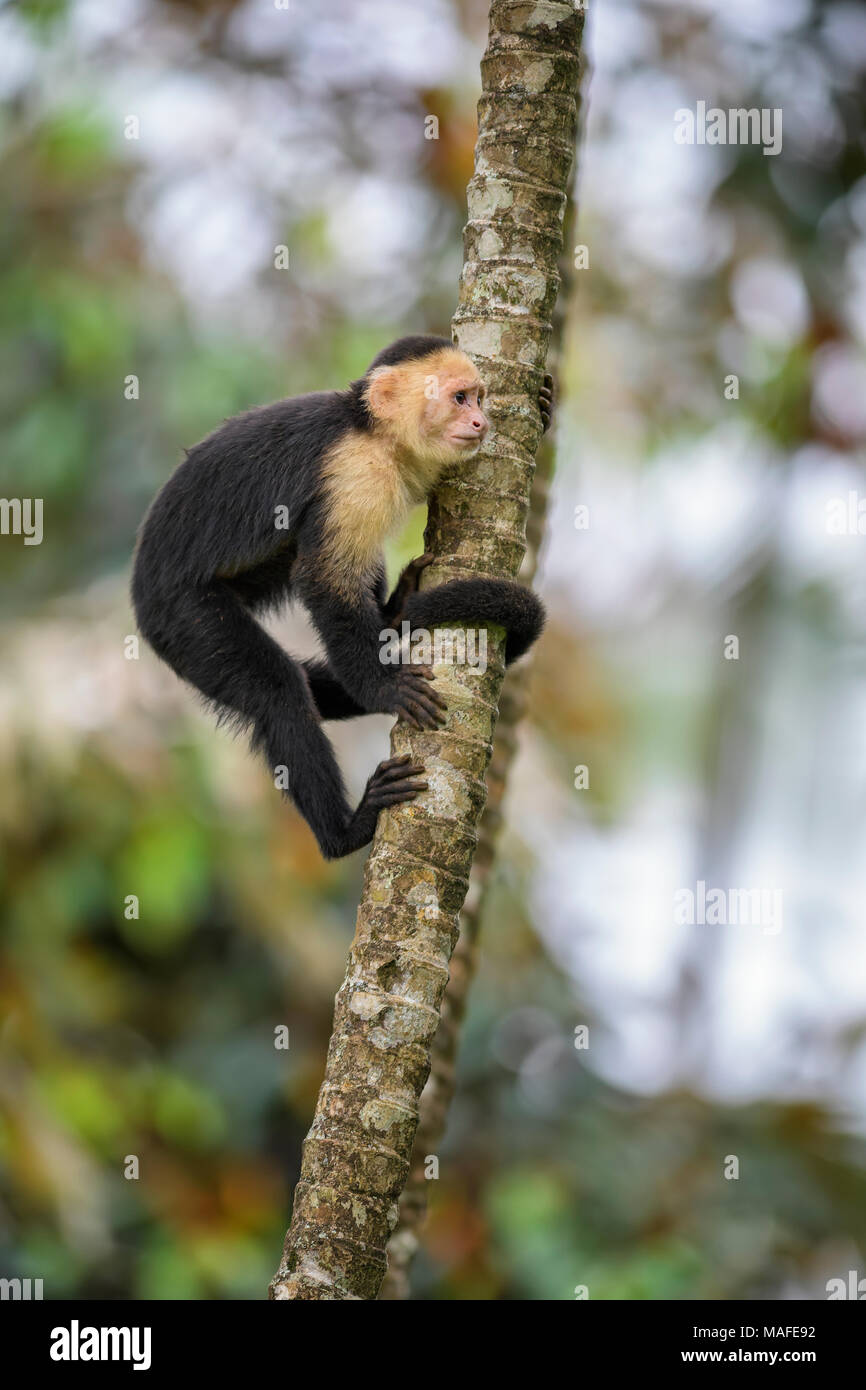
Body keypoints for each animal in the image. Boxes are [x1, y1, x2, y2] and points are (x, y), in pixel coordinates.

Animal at [130, 333, 547, 856]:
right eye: (458, 398)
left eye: (478, 397)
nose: (481, 422)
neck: (373, 433)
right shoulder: (355, 472)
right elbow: (325, 580)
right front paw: (382, 687)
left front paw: (545, 405)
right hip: (183, 615)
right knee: (278, 689)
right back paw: (345, 831)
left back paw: (394, 616)